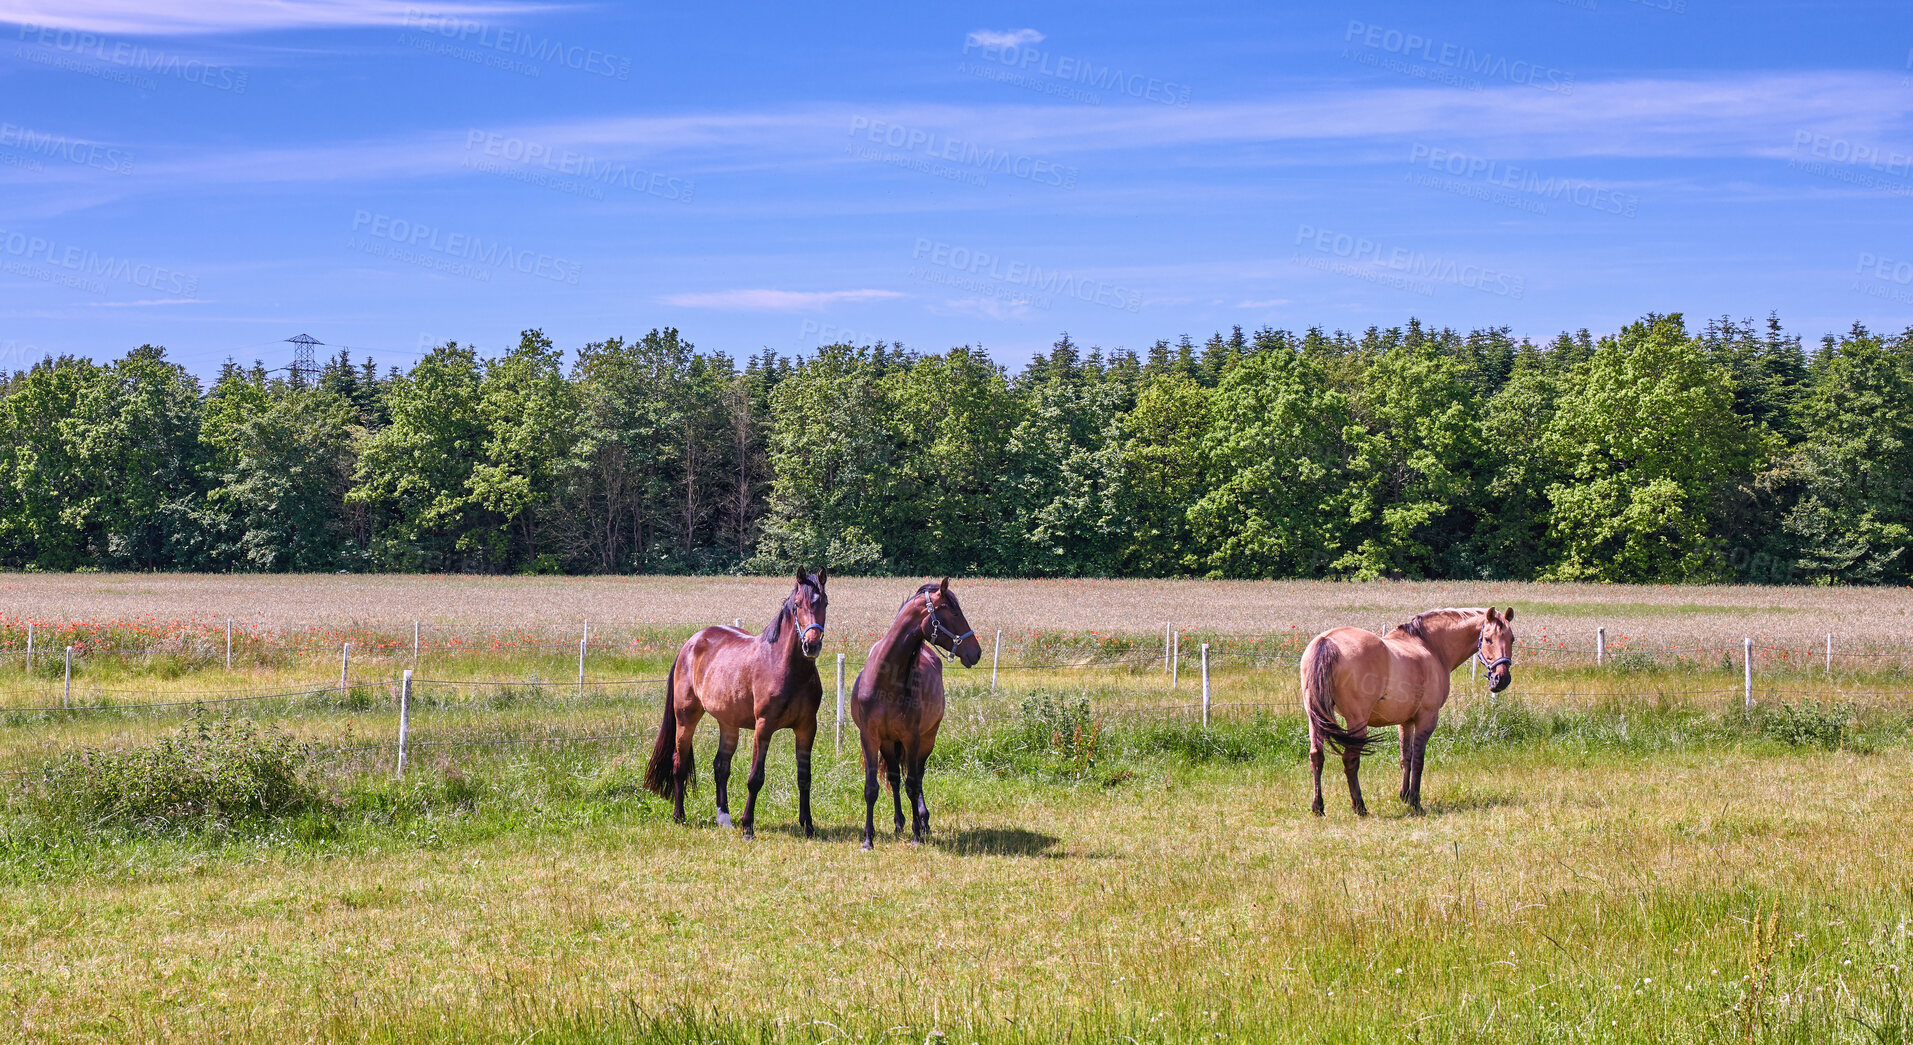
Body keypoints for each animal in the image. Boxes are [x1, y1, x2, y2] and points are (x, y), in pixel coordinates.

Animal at [646, 566, 826, 834]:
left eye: (824, 602)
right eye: (797, 604)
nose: (811, 645)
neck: (786, 668)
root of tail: (690, 643)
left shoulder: (806, 728)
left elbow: (804, 777)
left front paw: (808, 826)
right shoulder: (763, 727)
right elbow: (755, 778)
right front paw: (748, 826)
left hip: (728, 723)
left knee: (721, 767)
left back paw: (724, 818)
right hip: (685, 718)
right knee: (679, 764)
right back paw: (680, 816)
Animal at [857, 578, 987, 845]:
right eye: (954, 612)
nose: (976, 652)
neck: (885, 682)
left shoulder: (912, 738)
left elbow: (913, 784)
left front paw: (917, 833)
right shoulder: (870, 737)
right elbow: (872, 787)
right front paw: (868, 839)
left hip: (927, 739)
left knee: (918, 776)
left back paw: (923, 820)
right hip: (889, 743)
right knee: (895, 778)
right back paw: (898, 823)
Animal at [1293, 604, 1515, 819]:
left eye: (1512, 639)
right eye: (1487, 639)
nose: (1501, 679)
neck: (1430, 646)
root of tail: (1326, 640)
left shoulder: (1405, 721)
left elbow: (1405, 758)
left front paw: (1404, 796)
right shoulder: (1426, 718)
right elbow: (1418, 760)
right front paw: (1415, 802)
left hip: (1315, 718)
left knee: (1316, 757)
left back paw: (1318, 807)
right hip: (1356, 721)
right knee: (1350, 760)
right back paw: (1360, 807)